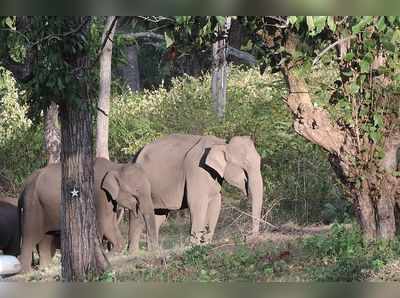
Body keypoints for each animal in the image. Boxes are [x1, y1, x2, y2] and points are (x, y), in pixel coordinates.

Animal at [18, 157, 157, 272]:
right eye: (136, 192)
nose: (155, 251)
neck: (116, 166)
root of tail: (25, 184)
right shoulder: (99, 194)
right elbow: (102, 223)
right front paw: (104, 256)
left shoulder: (109, 199)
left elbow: (109, 225)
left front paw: (112, 253)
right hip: (33, 205)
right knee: (30, 236)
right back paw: (26, 272)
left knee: (46, 237)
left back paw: (46, 268)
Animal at [130, 134, 264, 249]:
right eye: (244, 165)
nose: (248, 237)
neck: (221, 143)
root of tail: (136, 155)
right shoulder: (196, 169)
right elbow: (197, 203)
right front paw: (194, 246)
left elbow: (216, 203)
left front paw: (206, 244)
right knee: (138, 216)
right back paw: (134, 252)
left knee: (159, 215)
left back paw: (154, 251)